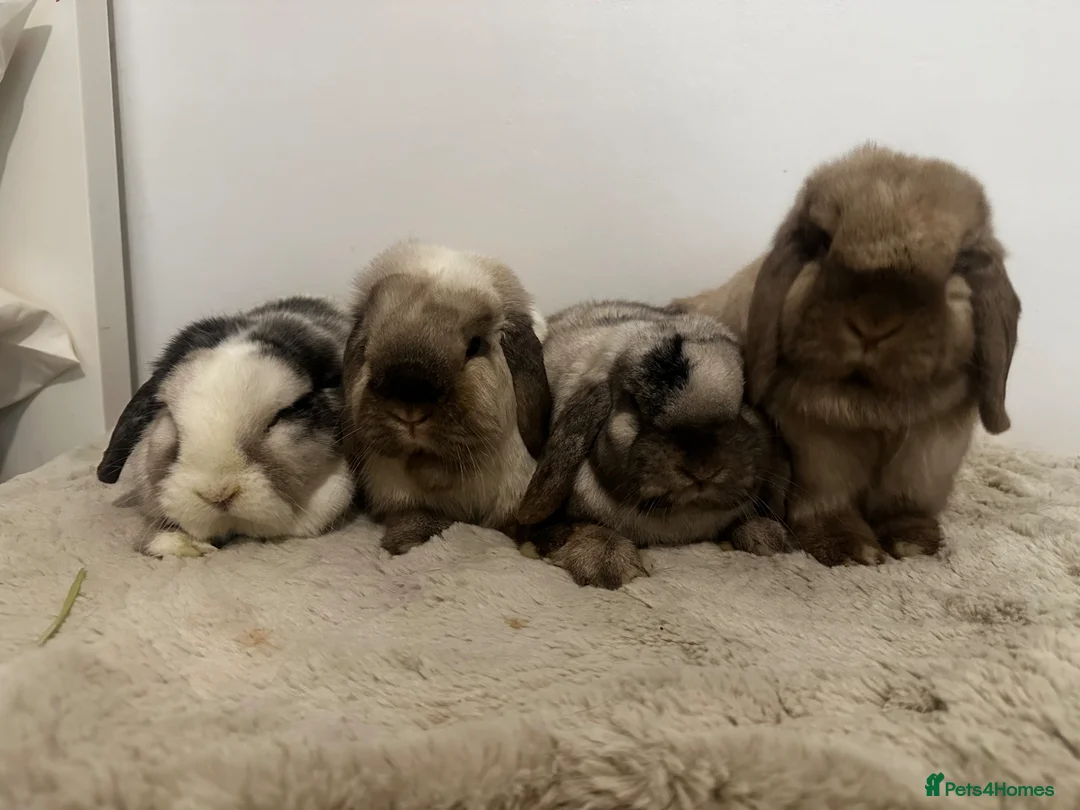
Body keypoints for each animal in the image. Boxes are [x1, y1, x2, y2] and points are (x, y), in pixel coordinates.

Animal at [514, 300, 793, 590]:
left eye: (744, 399)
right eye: (634, 404)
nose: (703, 469)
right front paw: (607, 565)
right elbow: (583, 529)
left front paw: (768, 538)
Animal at [675, 142, 1021, 567]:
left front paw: (913, 543)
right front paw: (851, 549)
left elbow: (907, 501)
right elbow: (828, 499)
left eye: (958, 264)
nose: (873, 321)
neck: (873, 403)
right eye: (822, 244)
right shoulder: (816, 448)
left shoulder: (930, 452)